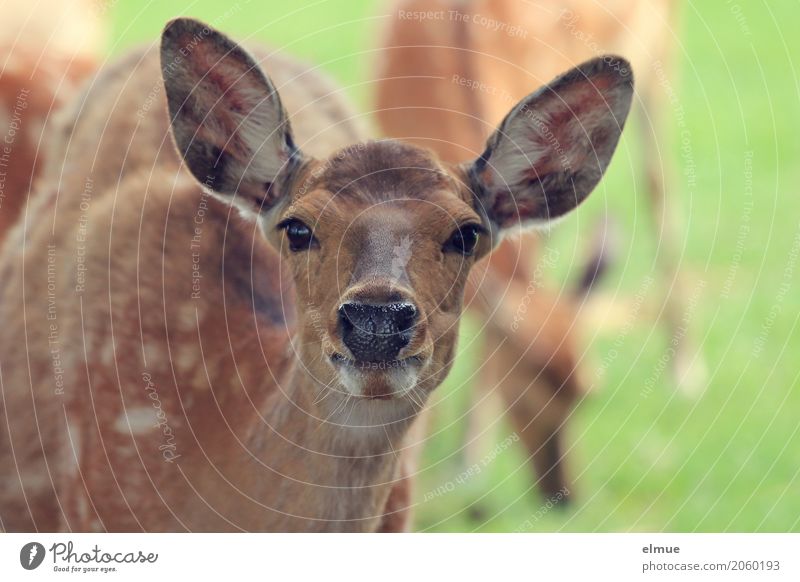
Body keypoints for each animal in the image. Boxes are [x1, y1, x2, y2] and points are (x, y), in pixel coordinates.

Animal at [374, 0, 688, 502]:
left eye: (587, 392)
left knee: (660, 185)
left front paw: (469, 465)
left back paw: (687, 371)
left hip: (662, 55)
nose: (564, 494)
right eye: (522, 393)